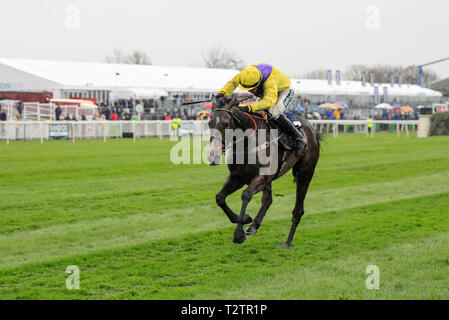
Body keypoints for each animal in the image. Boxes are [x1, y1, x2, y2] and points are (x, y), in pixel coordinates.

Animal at [208, 94, 320, 248]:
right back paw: (253, 225)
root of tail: (312, 130)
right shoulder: (238, 177)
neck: (247, 142)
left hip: (305, 172)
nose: (212, 156)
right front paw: (245, 219)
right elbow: (219, 198)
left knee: (298, 210)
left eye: (225, 124)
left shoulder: (261, 176)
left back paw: (287, 242)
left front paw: (239, 234)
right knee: (267, 200)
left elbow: (246, 195)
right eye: (209, 123)